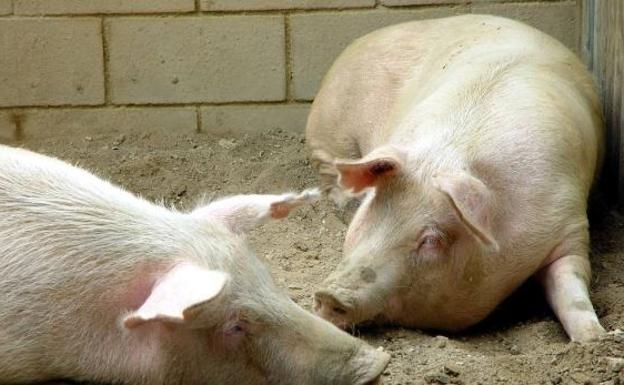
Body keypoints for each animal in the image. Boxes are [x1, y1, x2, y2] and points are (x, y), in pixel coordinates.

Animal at [310, 13, 608, 340]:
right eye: (371, 210)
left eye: (431, 239)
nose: (329, 295)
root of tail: (356, 44)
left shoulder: (571, 223)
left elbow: (572, 284)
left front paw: (596, 339)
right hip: (329, 130)